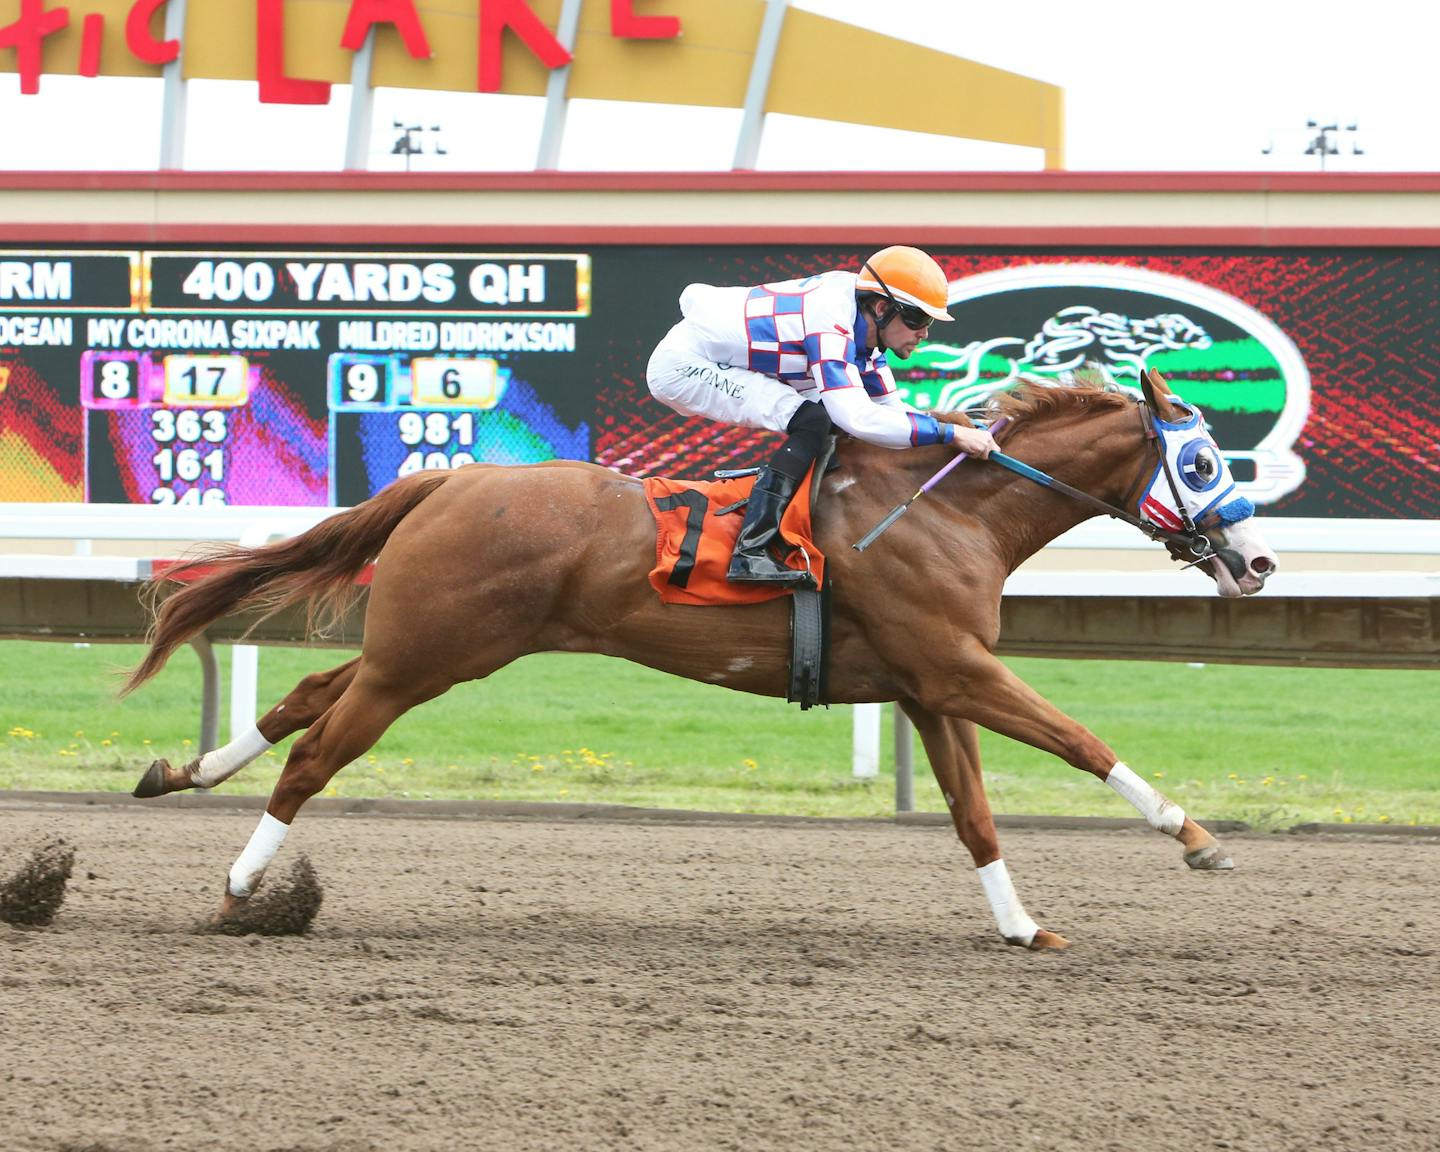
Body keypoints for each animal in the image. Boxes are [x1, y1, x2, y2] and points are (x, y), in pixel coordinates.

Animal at [123, 374, 1272, 950]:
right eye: (1203, 457)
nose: (1258, 561)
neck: (950, 511)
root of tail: (450, 480)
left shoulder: (926, 687)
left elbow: (975, 816)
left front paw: (1024, 926)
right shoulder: (957, 670)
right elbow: (1081, 739)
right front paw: (1199, 838)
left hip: (418, 648)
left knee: (308, 696)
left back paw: (181, 769)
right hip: (429, 656)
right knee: (316, 756)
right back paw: (240, 888)